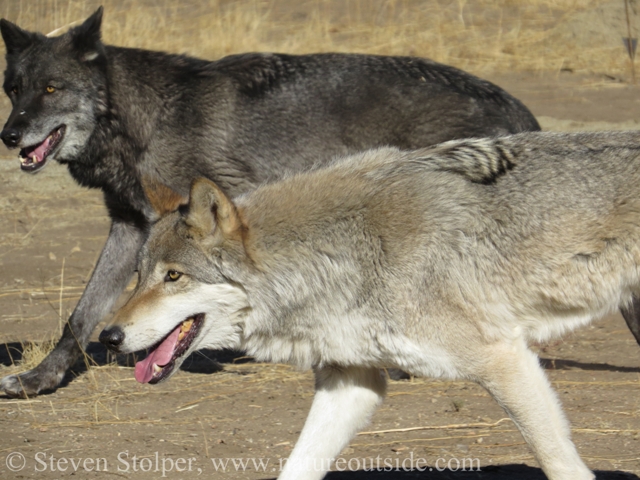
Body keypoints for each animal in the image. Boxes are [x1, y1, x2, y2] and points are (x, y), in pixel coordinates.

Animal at [0, 8, 548, 398]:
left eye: (51, 88)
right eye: (13, 89)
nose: (9, 135)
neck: (145, 118)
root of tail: (516, 104)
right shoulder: (130, 225)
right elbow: (81, 316)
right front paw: (39, 379)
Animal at [99, 130, 640, 480]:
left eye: (174, 277)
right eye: (139, 276)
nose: (108, 336)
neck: (339, 253)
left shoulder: (504, 359)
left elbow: (560, 462)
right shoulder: (352, 383)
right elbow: (297, 466)